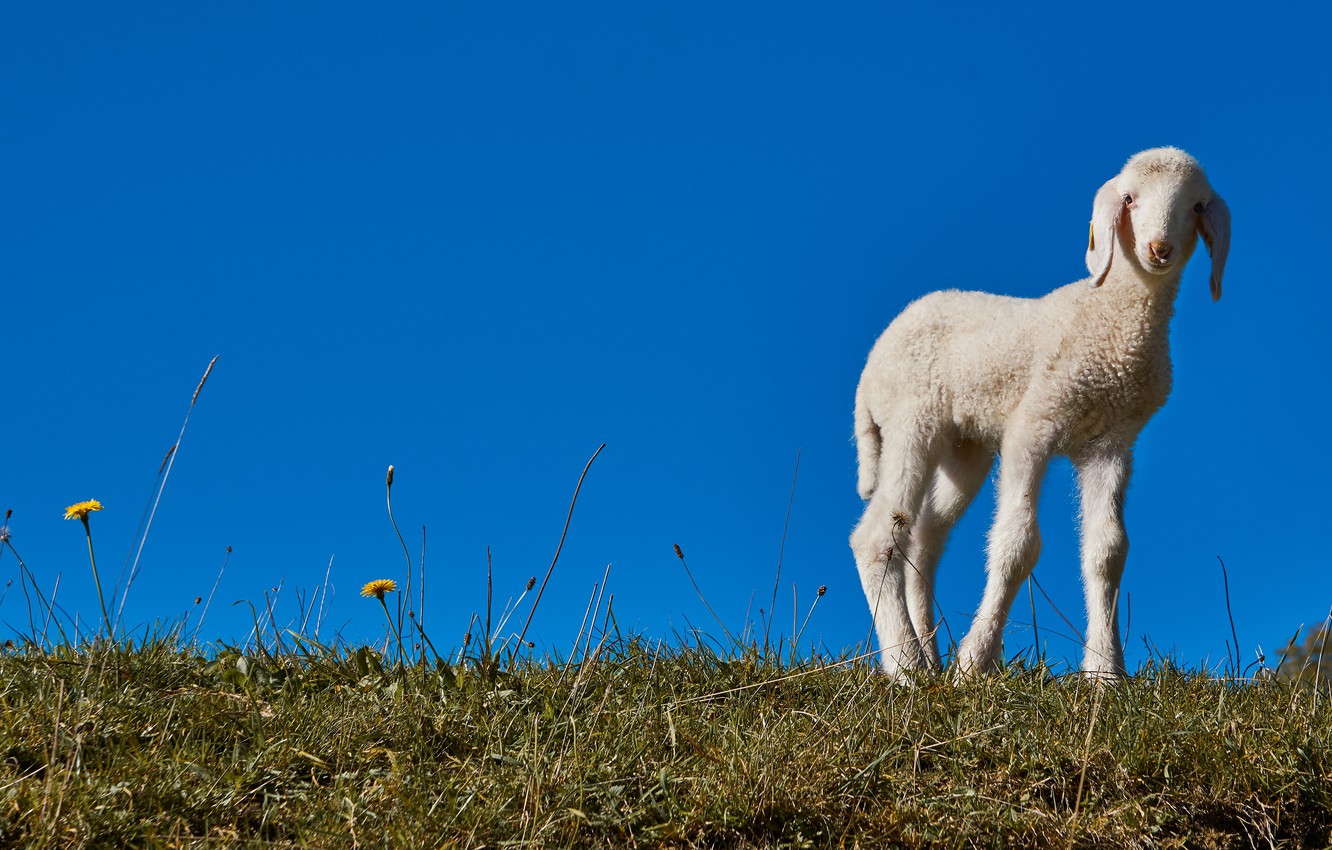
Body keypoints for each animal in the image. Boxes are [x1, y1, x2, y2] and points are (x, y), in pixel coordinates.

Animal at [850, 147, 1230, 680]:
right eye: (1129, 198)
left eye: (1197, 207)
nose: (1159, 249)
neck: (1113, 319)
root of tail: (868, 371)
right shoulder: (1035, 424)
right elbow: (1017, 543)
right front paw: (975, 663)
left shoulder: (1112, 442)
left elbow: (1107, 552)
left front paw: (1105, 675)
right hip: (910, 422)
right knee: (878, 537)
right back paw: (908, 667)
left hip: (964, 449)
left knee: (924, 537)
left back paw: (929, 655)